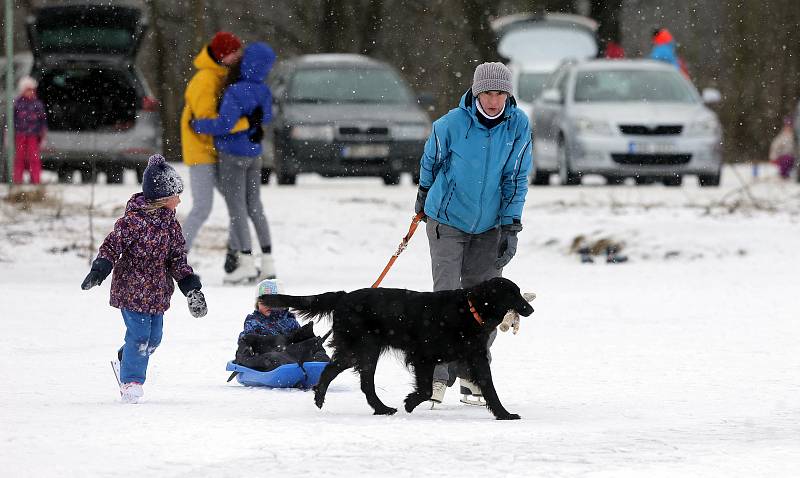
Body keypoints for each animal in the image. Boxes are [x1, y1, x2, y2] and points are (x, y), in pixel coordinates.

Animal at [260, 276, 536, 418]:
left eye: (519, 292)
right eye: (512, 294)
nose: (531, 309)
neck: (467, 310)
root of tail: (344, 296)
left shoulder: (476, 357)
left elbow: (489, 388)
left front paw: (503, 413)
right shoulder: (423, 356)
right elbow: (425, 389)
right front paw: (410, 403)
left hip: (362, 351)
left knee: (349, 377)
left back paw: (376, 408)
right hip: (361, 348)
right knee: (338, 373)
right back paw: (325, 399)